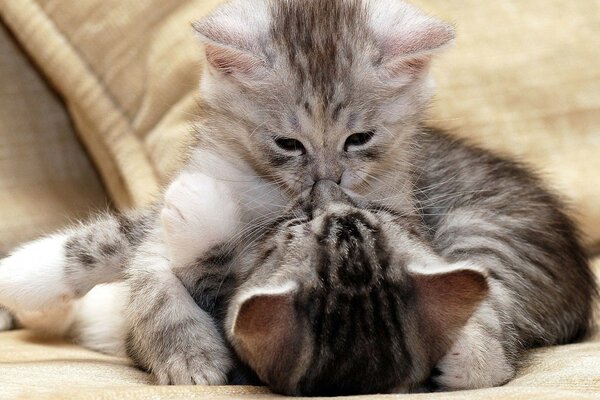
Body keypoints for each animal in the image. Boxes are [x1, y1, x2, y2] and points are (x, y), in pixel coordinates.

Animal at [0, 0, 596, 394]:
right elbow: (120, 252)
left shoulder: (397, 211)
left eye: (360, 139)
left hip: (487, 228)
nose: (327, 185)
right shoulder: (172, 205)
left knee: (493, 311)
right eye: (288, 144)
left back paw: (470, 357)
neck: (266, 191)